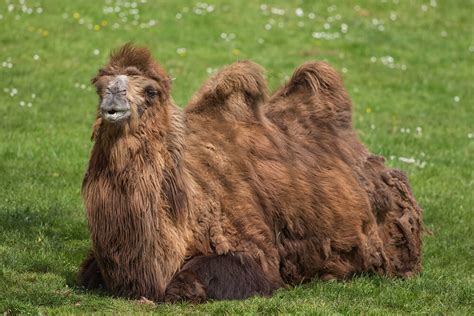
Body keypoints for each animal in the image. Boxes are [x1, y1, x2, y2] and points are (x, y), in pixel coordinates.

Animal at [78, 43, 422, 302]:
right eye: (100, 86)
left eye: (150, 91)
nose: (113, 95)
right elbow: (87, 274)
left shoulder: (254, 248)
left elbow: (192, 281)